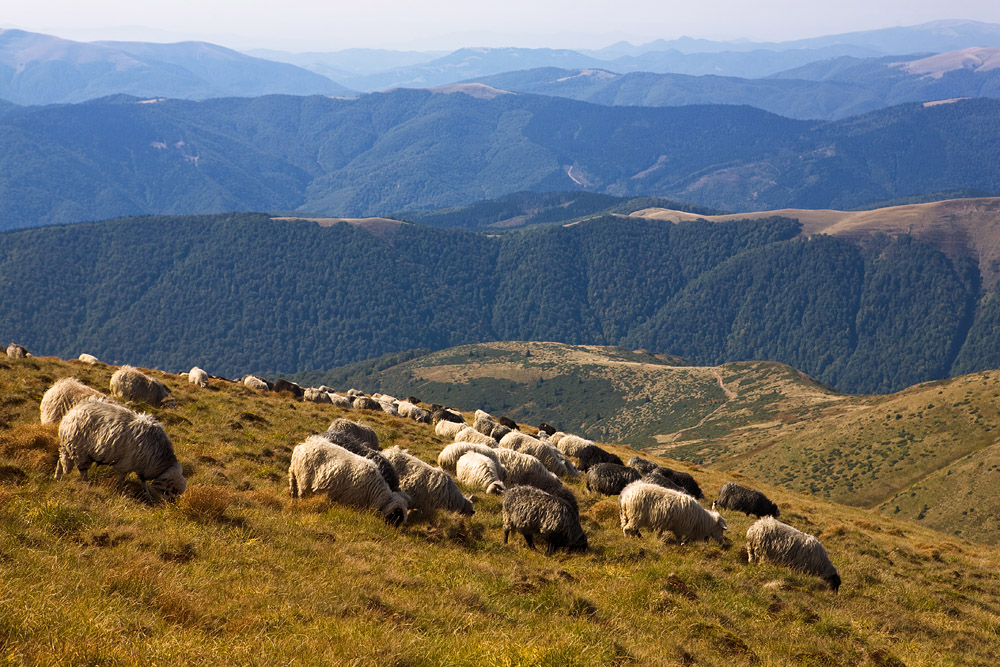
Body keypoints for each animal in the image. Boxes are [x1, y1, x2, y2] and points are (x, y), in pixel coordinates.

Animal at [56, 396, 188, 500]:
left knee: (60, 460)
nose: (171, 505)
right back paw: (87, 484)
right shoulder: (127, 463)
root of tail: (72, 412)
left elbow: (143, 482)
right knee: (82, 470)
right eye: (173, 489)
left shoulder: (142, 466)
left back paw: (57, 477)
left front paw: (148, 495)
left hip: (68, 445)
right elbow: (123, 477)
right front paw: (117, 489)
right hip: (79, 449)